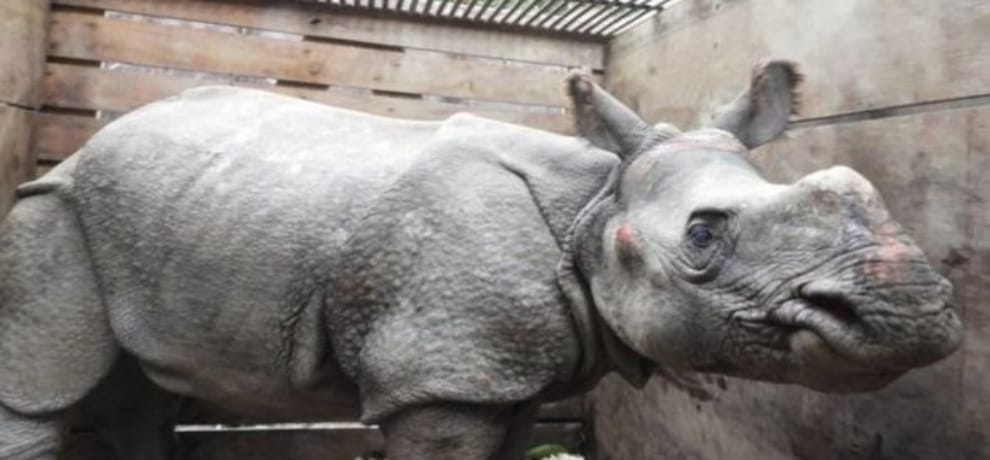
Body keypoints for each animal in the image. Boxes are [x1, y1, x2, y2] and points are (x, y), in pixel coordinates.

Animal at [0, 61, 962, 459]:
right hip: (55, 210)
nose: (914, 311)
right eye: (701, 236)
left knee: (135, 388)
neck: (599, 200)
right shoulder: (446, 374)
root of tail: (82, 149)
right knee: (42, 383)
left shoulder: (509, 369)